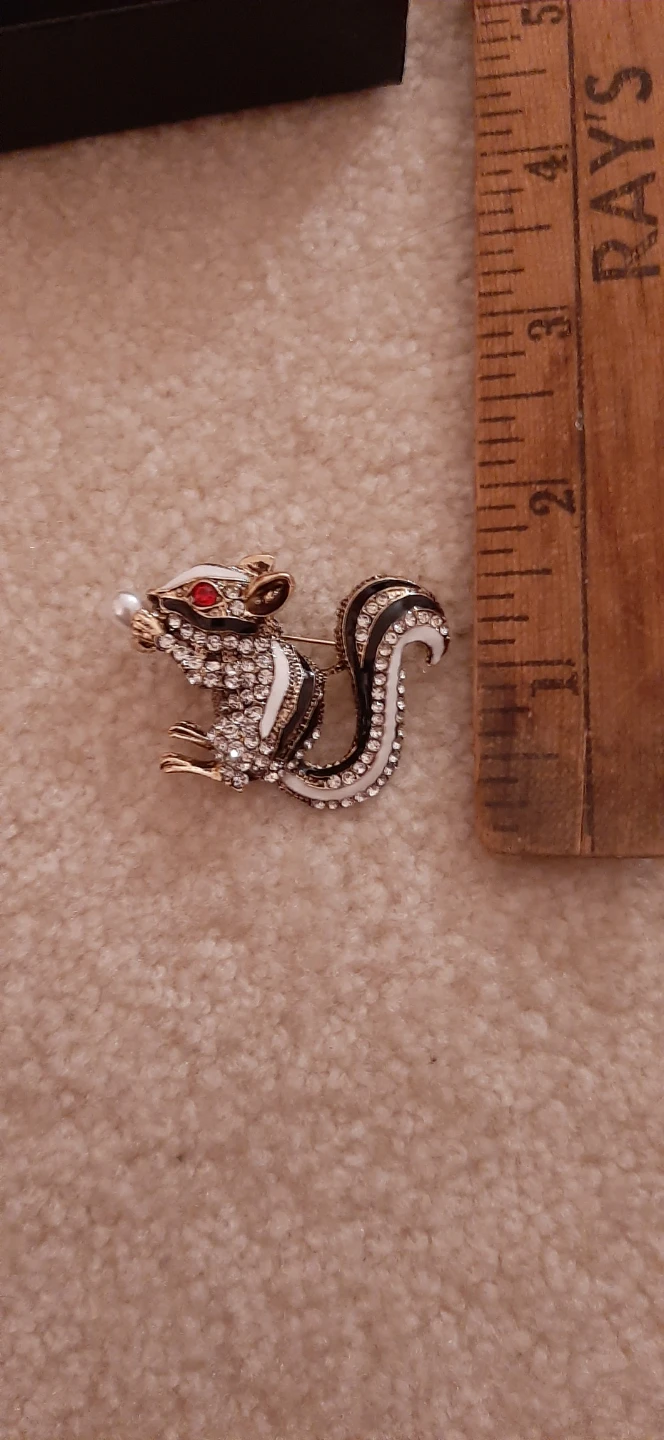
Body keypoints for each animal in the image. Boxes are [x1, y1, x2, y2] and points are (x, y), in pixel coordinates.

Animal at [114, 553, 449, 809]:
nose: (154, 595)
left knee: (230, 775)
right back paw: (192, 734)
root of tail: (283, 767)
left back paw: (184, 761)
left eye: (204, 594)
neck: (250, 634)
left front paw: (151, 629)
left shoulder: (242, 664)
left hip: (236, 737)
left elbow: (202, 671)